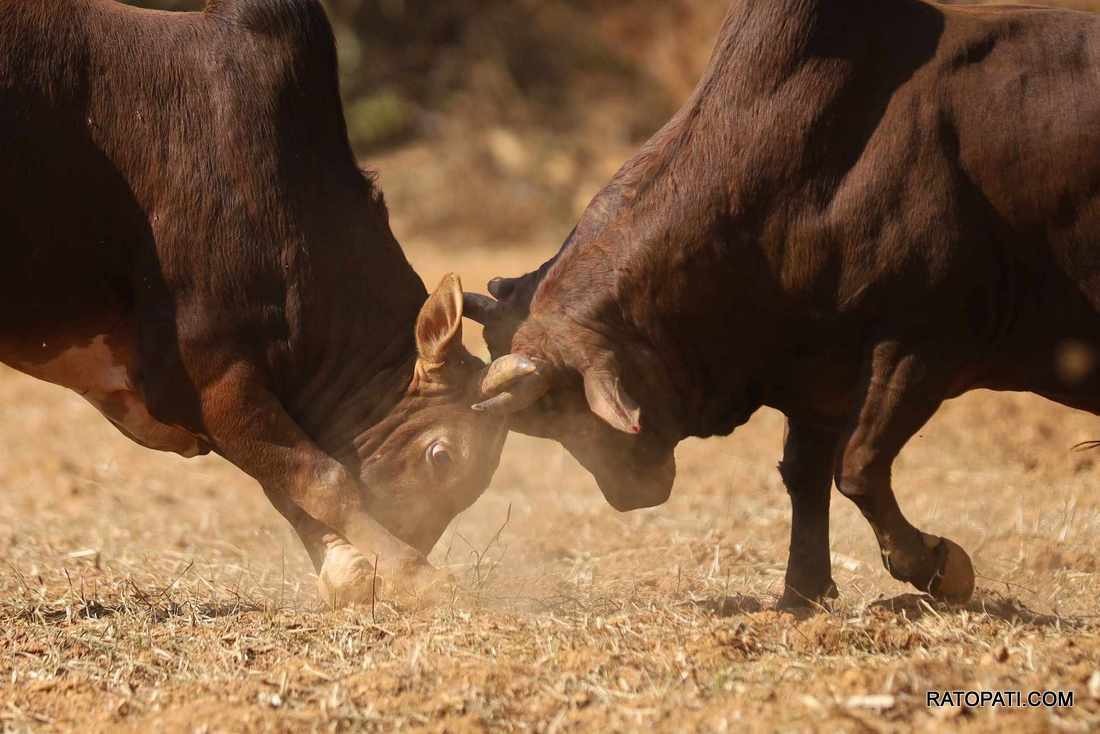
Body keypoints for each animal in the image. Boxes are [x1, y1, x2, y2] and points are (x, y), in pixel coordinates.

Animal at [0, 0, 510, 603]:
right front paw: (415, 575)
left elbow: (290, 483)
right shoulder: (212, 374)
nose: (404, 547)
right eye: (442, 455)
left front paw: (352, 571)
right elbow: (320, 476)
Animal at [466, 0, 1100, 607]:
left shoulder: (918, 347)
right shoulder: (815, 373)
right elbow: (803, 474)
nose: (627, 494)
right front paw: (804, 589)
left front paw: (939, 567)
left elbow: (858, 467)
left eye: (566, 409)